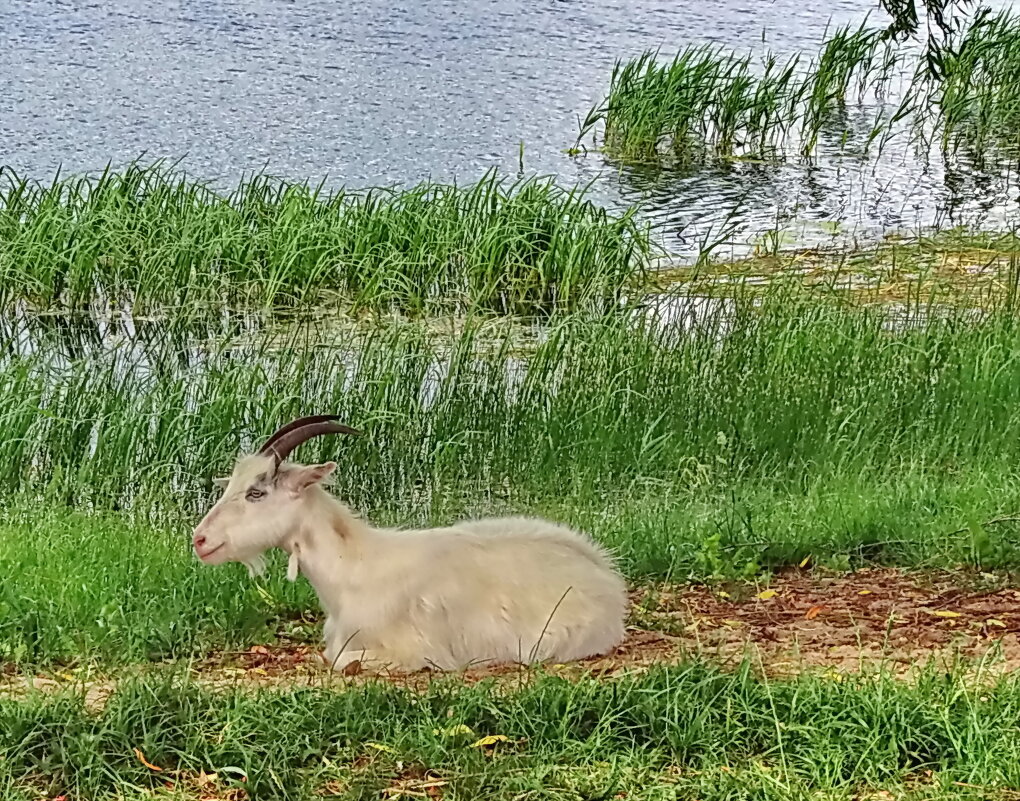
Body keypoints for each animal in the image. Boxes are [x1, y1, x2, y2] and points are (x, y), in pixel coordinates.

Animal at [187, 416, 624, 673]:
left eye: (256, 493)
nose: (200, 540)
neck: (354, 568)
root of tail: (609, 579)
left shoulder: (418, 650)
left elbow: (340, 660)